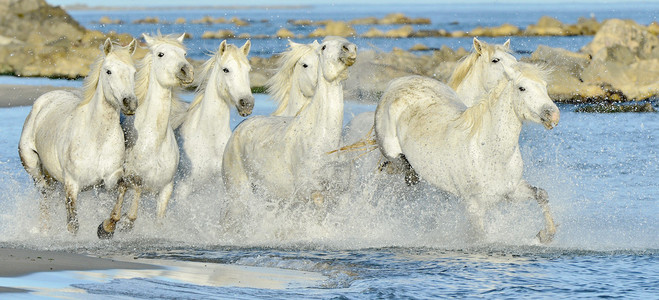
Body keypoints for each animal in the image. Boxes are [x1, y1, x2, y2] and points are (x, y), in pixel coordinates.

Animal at [19, 38, 138, 234]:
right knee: (44, 193)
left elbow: (124, 186)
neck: (96, 138)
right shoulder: (72, 184)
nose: (130, 103)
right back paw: (45, 231)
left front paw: (106, 227)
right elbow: (73, 224)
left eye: (134, 72)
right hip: (33, 165)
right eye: (108, 71)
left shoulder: (110, 178)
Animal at [96, 32, 193, 239]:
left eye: (184, 53)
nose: (186, 71)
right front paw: (109, 226)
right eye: (161, 54)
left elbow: (157, 220)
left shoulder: (165, 190)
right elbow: (129, 199)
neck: (152, 141)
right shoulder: (127, 180)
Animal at [222, 36, 356, 203]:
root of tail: (238, 128)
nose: (349, 49)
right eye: (324, 47)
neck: (323, 139)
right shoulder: (310, 195)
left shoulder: (339, 194)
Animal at [374, 62, 560, 243]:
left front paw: (545, 235)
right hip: (390, 151)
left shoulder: (512, 191)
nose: (553, 115)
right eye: (522, 88)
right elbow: (479, 237)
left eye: (545, 86)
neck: (488, 152)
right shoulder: (474, 207)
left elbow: (541, 194)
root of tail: (398, 81)